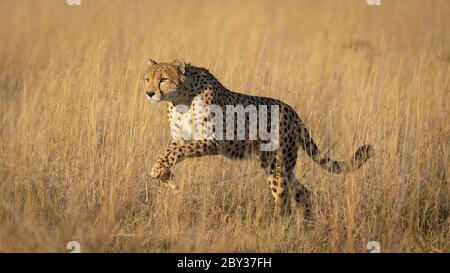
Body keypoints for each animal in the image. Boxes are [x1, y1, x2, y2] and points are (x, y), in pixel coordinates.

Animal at [143, 59, 372, 215]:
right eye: (147, 79)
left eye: (163, 79)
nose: (149, 93)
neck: (181, 98)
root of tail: (292, 111)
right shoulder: (180, 137)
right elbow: (171, 152)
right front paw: (167, 179)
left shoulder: (212, 141)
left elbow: (179, 151)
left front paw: (159, 172)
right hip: (272, 163)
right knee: (302, 192)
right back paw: (308, 226)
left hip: (279, 164)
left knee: (284, 198)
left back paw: (279, 228)